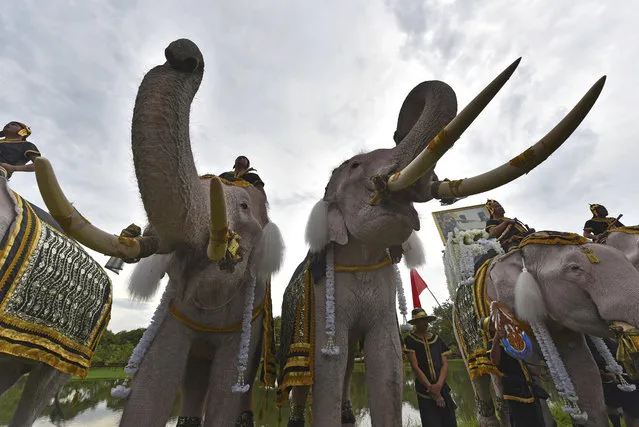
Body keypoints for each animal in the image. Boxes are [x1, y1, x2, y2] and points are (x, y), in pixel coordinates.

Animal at [31, 37, 286, 427]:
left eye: (243, 207)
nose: (181, 53)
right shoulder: (173, 310)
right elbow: (155, 376)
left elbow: (228, 385)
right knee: (193, 377)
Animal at [278, 54, 608, 427]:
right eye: (355, 165)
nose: (397, 130)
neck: (362, 257)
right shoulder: (322, 294)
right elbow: (329, 364)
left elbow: (388, 360)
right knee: (308, 376)